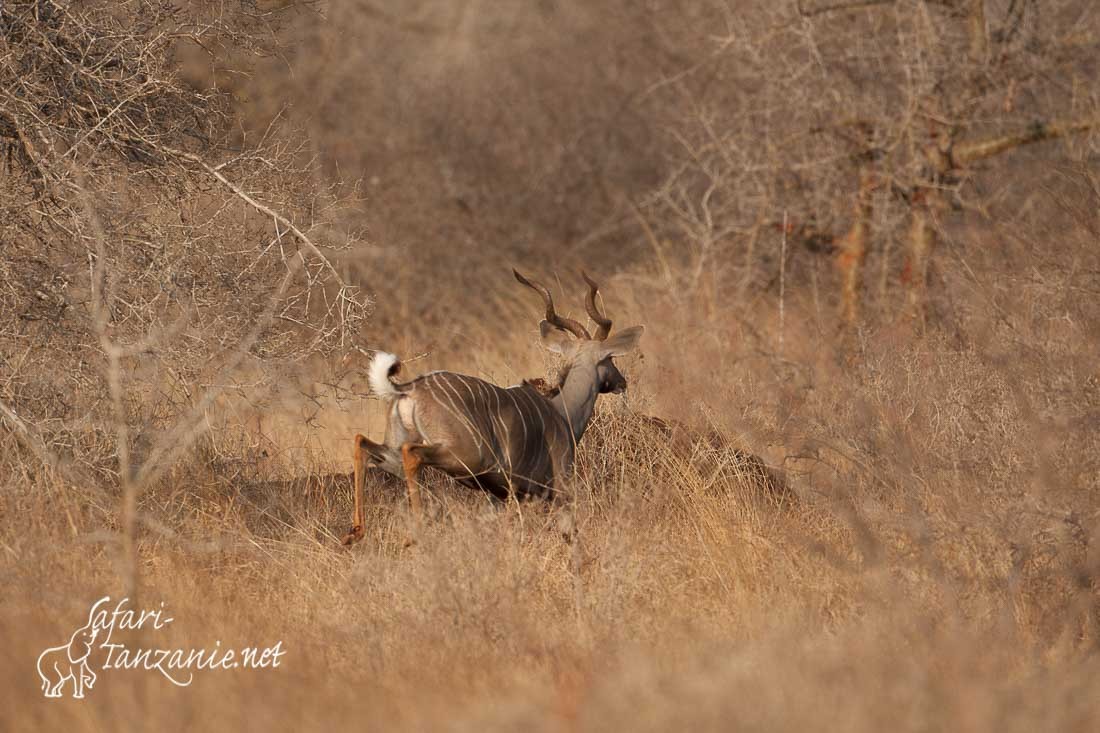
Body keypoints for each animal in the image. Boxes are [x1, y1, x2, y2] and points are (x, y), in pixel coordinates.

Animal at [338, 268, 642, 541]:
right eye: (610, 359)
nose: (622, 382)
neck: (562, 413)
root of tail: (409, 388)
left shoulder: (499, 496)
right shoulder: (554, 490)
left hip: (396, 454)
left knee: (361, 442)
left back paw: (355, 532)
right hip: (462, 455)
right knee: (410, 453)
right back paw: (415, 532)